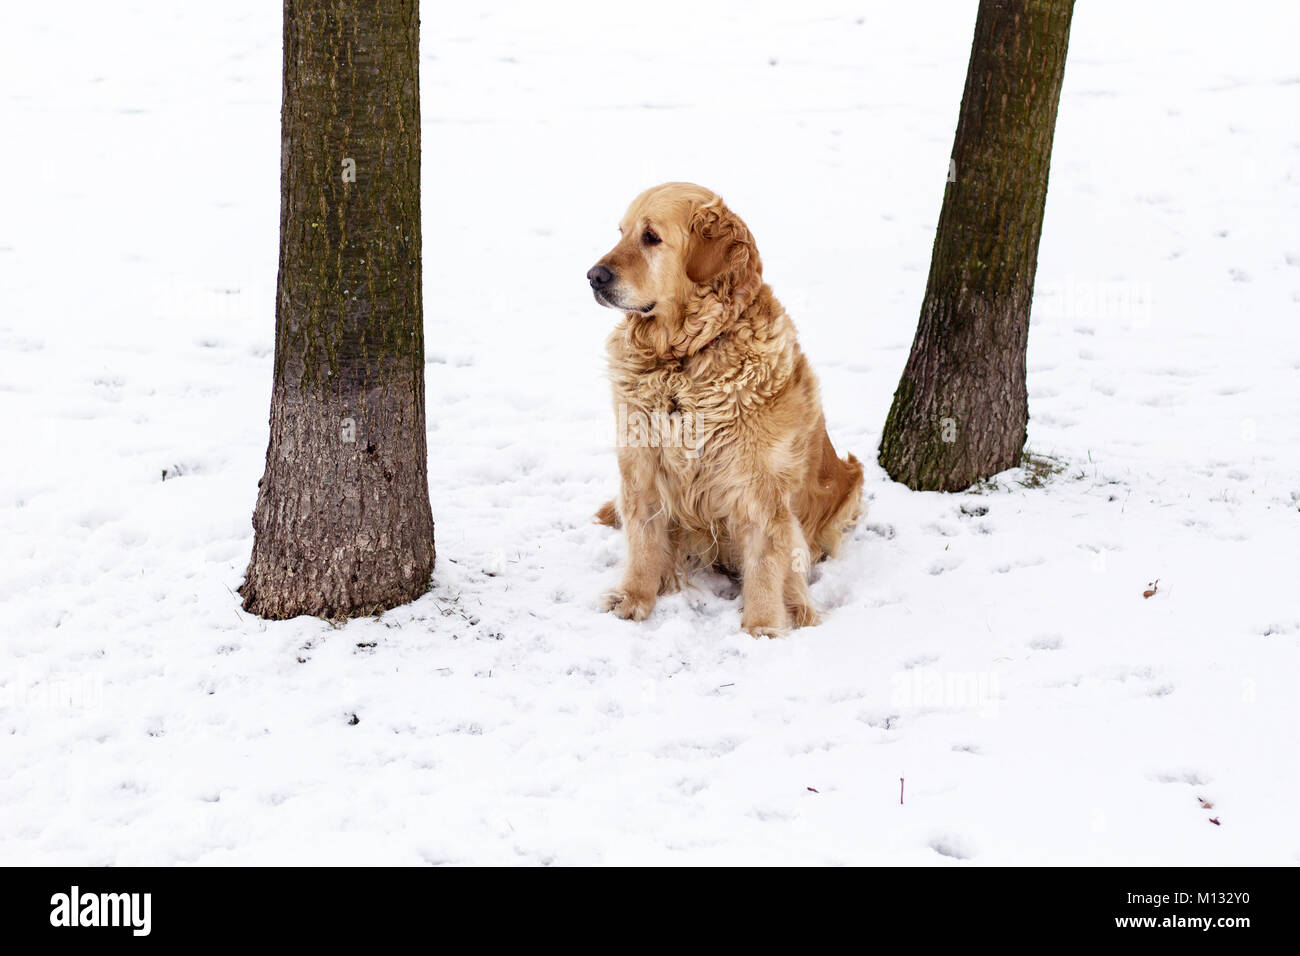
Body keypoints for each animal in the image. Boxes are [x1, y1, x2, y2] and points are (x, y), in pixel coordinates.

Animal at [590, 184, 863, 639]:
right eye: (622, 233)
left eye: (651, 237)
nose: (593, 276)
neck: (684, 360)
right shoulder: (642, 463)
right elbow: (643, 540)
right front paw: (633, 597)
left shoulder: (759, 486)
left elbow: (767, 561)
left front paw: (763, 627)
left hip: (850, 482)